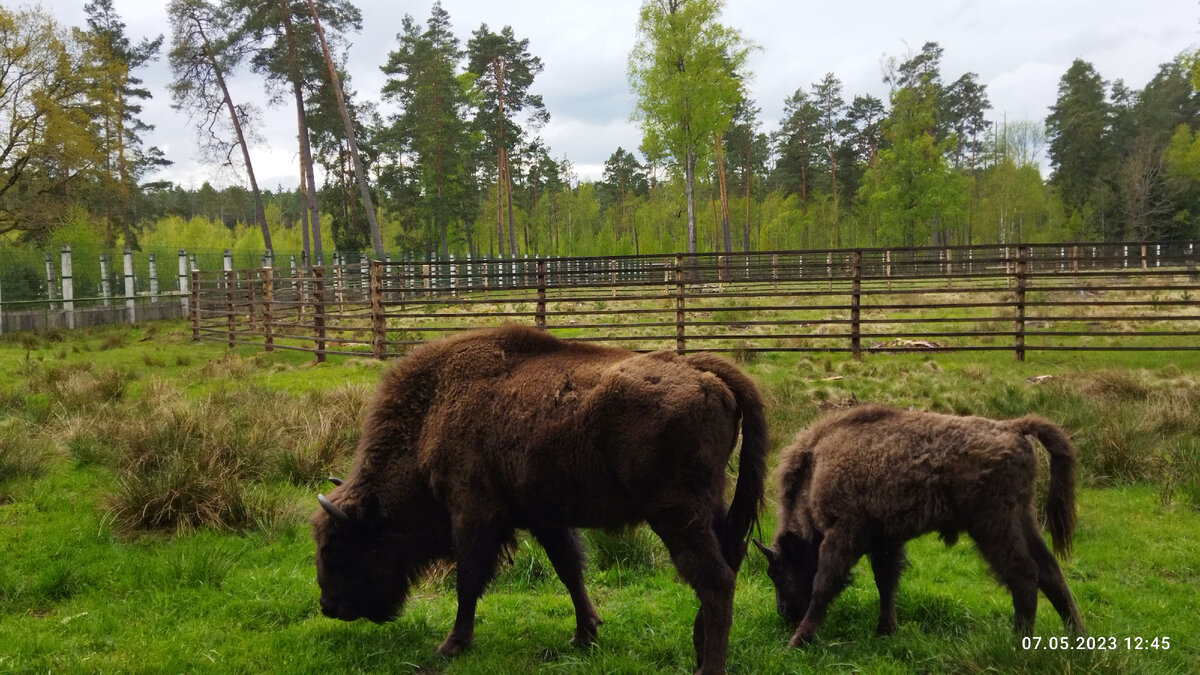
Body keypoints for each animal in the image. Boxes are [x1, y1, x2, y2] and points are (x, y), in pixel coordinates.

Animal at [309, 324, 758, 667]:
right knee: (727, 564)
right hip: (710, 507)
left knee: (716, 580)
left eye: (334, 547)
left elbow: (468, 580)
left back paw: (709, 666)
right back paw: (699, 648)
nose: (328, 606)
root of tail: (701, 370)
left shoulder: (473, 515)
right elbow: (569, 570)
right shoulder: (545, 518)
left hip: (677, 515)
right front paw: (584, 634)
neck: (433, 409)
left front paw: (450, 646)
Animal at [758, 401, 1089, 643]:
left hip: (993, 525)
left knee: (1024, 574)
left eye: (776, 572)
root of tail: (1013, 427)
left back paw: (1018, 642)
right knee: (1049, 571)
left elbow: (824, 584)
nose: (785, 614)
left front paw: (799, 641)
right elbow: (886, 583)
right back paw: (1077, 636)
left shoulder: (845, 533)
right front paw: (885, 630)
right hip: (1022, 517)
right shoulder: (884, 541)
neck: (817, 467)